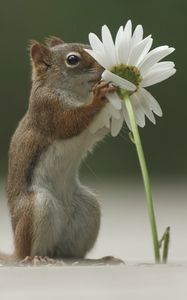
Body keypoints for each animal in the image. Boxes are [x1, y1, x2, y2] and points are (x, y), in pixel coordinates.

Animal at [0, 36, 117, 264]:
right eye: (72, 60)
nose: (106, 67)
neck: (76, 94)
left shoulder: (92, 130)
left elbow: (102, 128)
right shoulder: (49, 110)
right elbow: (71, 123)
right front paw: (99, 98)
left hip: (88, 209)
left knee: (71, 254)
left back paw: (98, 259)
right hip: (37, 206)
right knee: (28, 251)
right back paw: (36, 258)